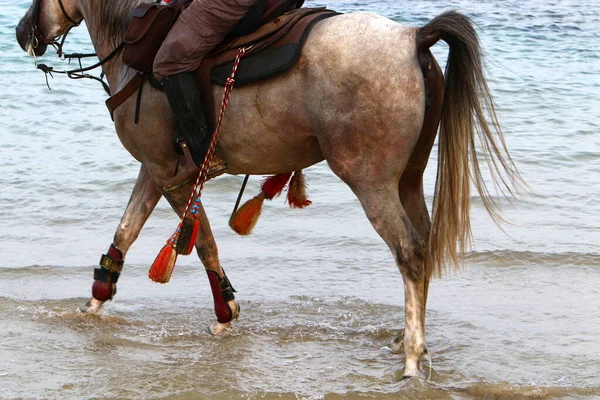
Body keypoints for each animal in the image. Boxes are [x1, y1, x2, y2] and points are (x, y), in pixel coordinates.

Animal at [14, 0, 520, 378]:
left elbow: (203, 244)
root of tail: (412, 37)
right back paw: (408, 340)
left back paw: (413, 358)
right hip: (407, 180)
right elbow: (126, 230)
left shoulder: (172, 176)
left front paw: (226, 312)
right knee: (424, 243)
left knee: (410, 252)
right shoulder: (156, 172)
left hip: (371, 182)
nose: (21, 33)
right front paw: (95, 300)